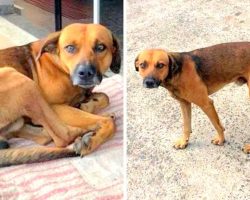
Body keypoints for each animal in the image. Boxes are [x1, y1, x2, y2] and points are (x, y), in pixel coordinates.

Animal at [0, 23, 121, 166]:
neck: (60, 65)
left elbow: (105, 97)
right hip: (19, 79)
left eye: (100, 47)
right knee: (63, 137)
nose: (85, 73)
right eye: (70, 48)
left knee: (45, 137)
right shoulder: (54, 107)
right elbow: (107, 122)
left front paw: (86, 105)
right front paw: (93, 138)